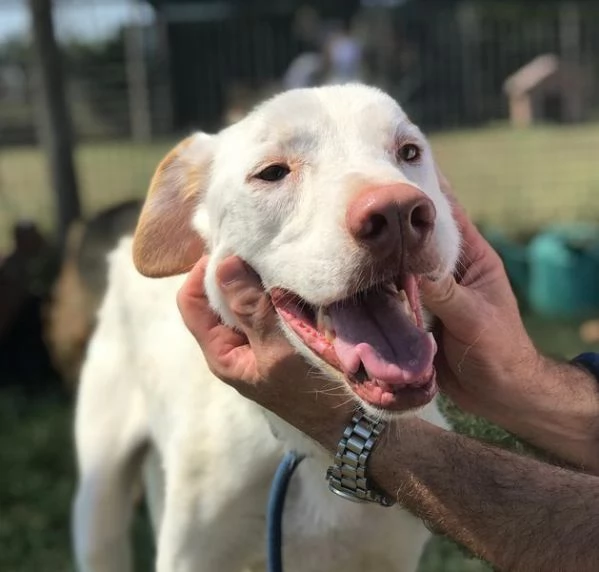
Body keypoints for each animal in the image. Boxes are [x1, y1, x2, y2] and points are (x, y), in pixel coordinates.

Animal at [72, 84, 462, 572]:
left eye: (409, 151)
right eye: (272, 173)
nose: (398, 213)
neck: (309, 449)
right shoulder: (194, 556)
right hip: (98, 502)